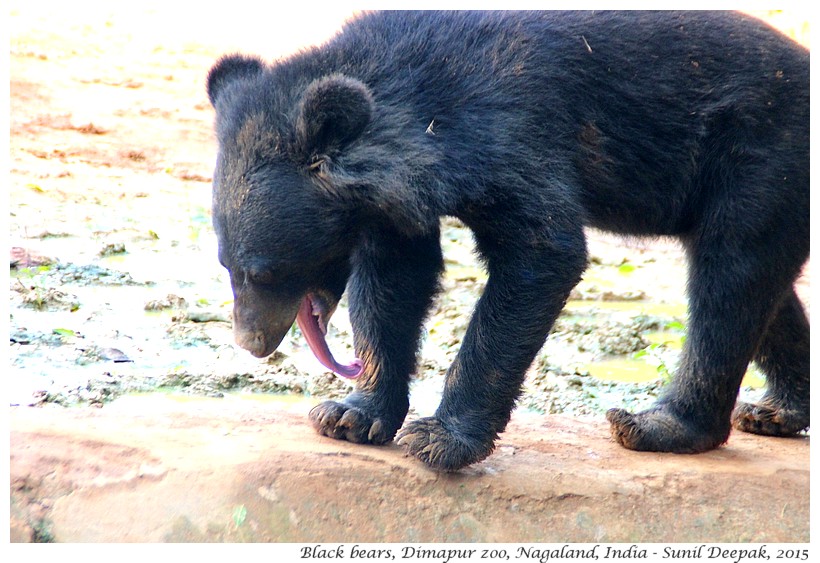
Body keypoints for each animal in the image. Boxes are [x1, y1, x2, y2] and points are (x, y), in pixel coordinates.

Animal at [205, 11, 808, 474]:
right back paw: (778, 411)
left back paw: (656, 425)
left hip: (760, 160)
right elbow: (394, 280)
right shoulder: (391, 205)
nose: (252, 343)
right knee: (764, 293)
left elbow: (544, 248)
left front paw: (439, 440)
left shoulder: (511, 128)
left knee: (730, 279)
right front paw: (351, 415)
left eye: (264, 271)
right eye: (227, 267)